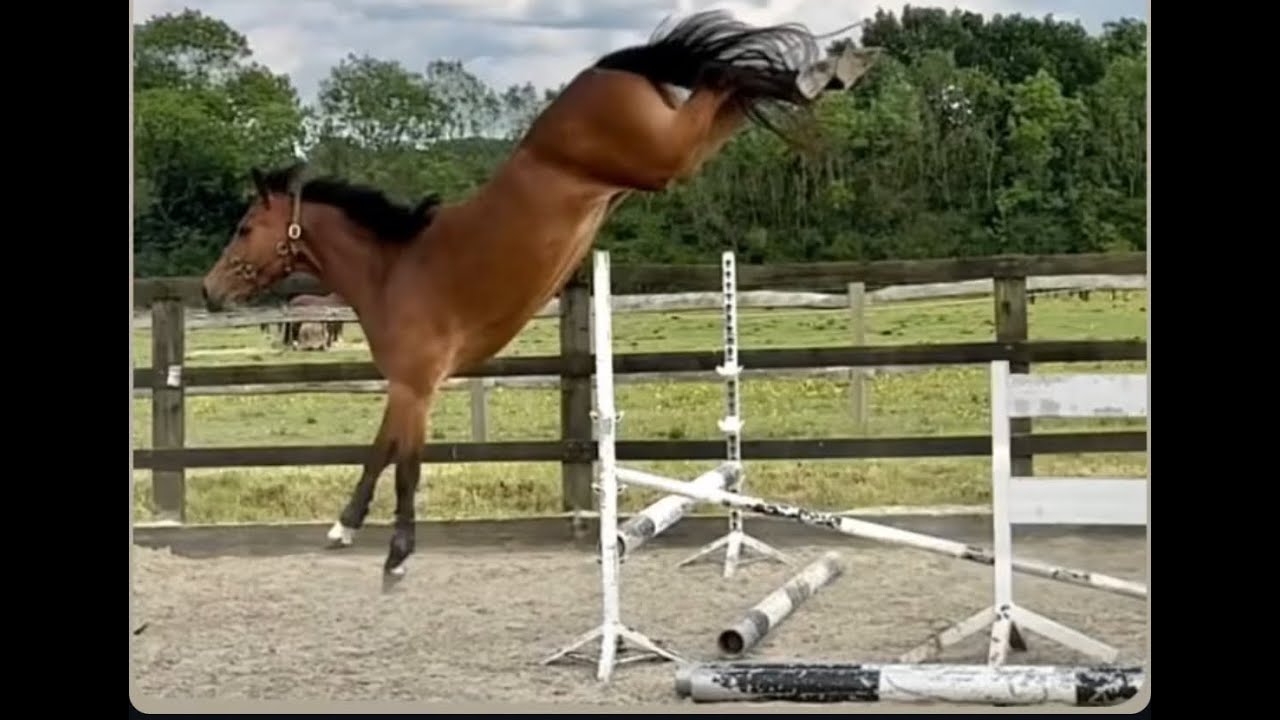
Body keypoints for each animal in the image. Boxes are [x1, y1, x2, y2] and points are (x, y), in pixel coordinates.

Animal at [199, 10, 880, 589]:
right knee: (734, 92)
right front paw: (346, 527)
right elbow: (379, 455)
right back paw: (833, 69)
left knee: (724, 80)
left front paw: (395, 554)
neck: (392, 269)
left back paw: (826, 68)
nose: (209, 290)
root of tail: (599, 70)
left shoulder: (415, 387)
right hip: (671, 159)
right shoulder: (408, 387)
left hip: (662, 160)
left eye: (243, 227)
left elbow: (403, 467)